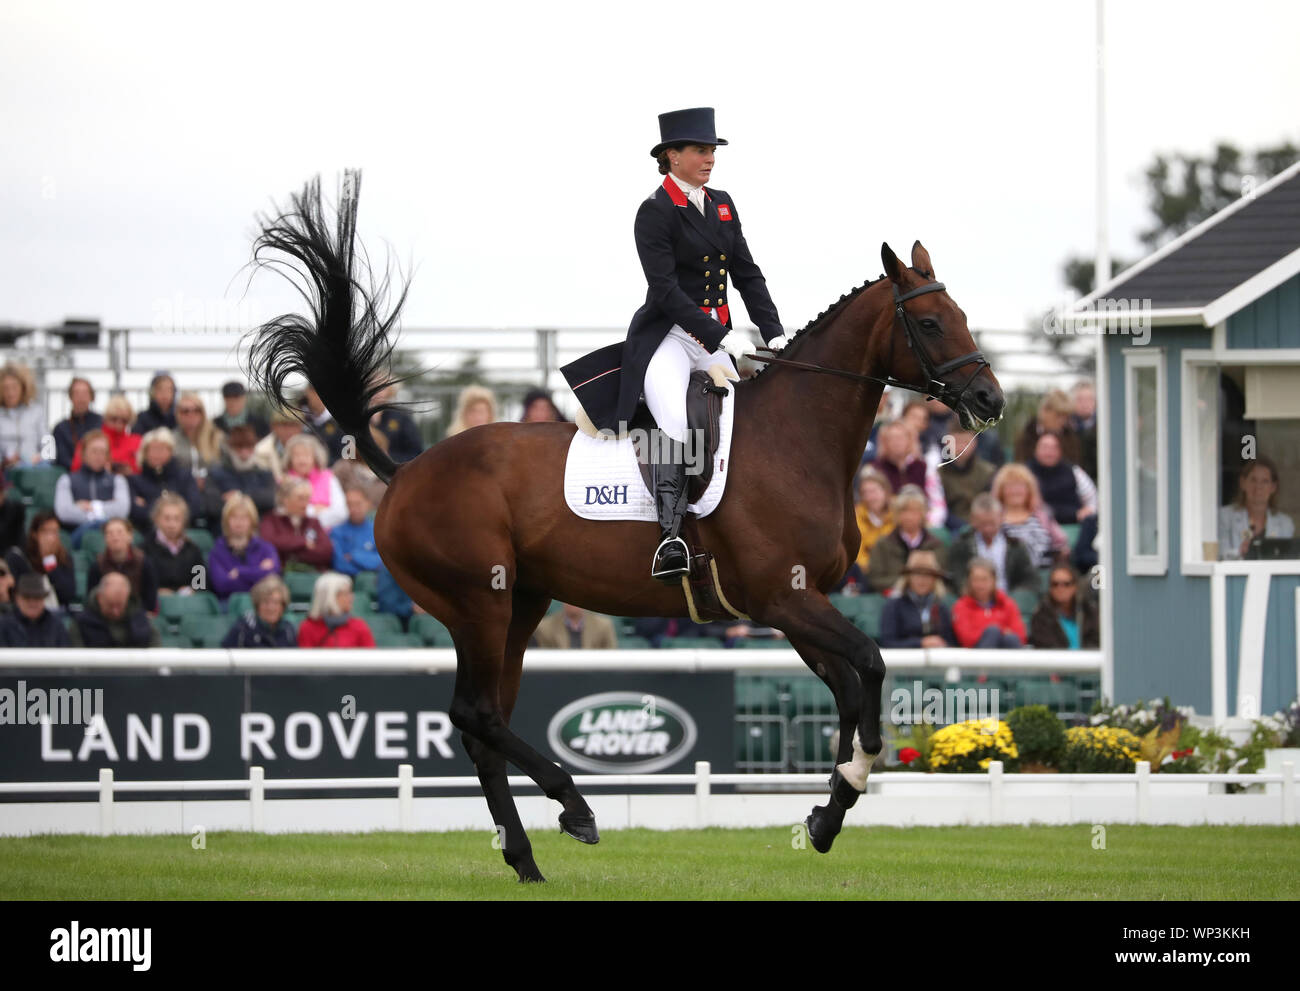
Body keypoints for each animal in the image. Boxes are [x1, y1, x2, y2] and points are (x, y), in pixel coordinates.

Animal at [248, 175, 1008, 879]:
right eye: (931, 323)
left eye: (963, 314)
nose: (989, 399)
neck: (794, 439)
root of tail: (404, 472)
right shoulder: (786, 598)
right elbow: (872, 663)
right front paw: (847, 785)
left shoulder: (789, 607)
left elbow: (851, 687)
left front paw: (828, 813)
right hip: (476, 603)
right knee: (477, 713)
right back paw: (574, 806)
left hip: (519, 606)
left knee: (483, 723)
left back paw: (526, 857)